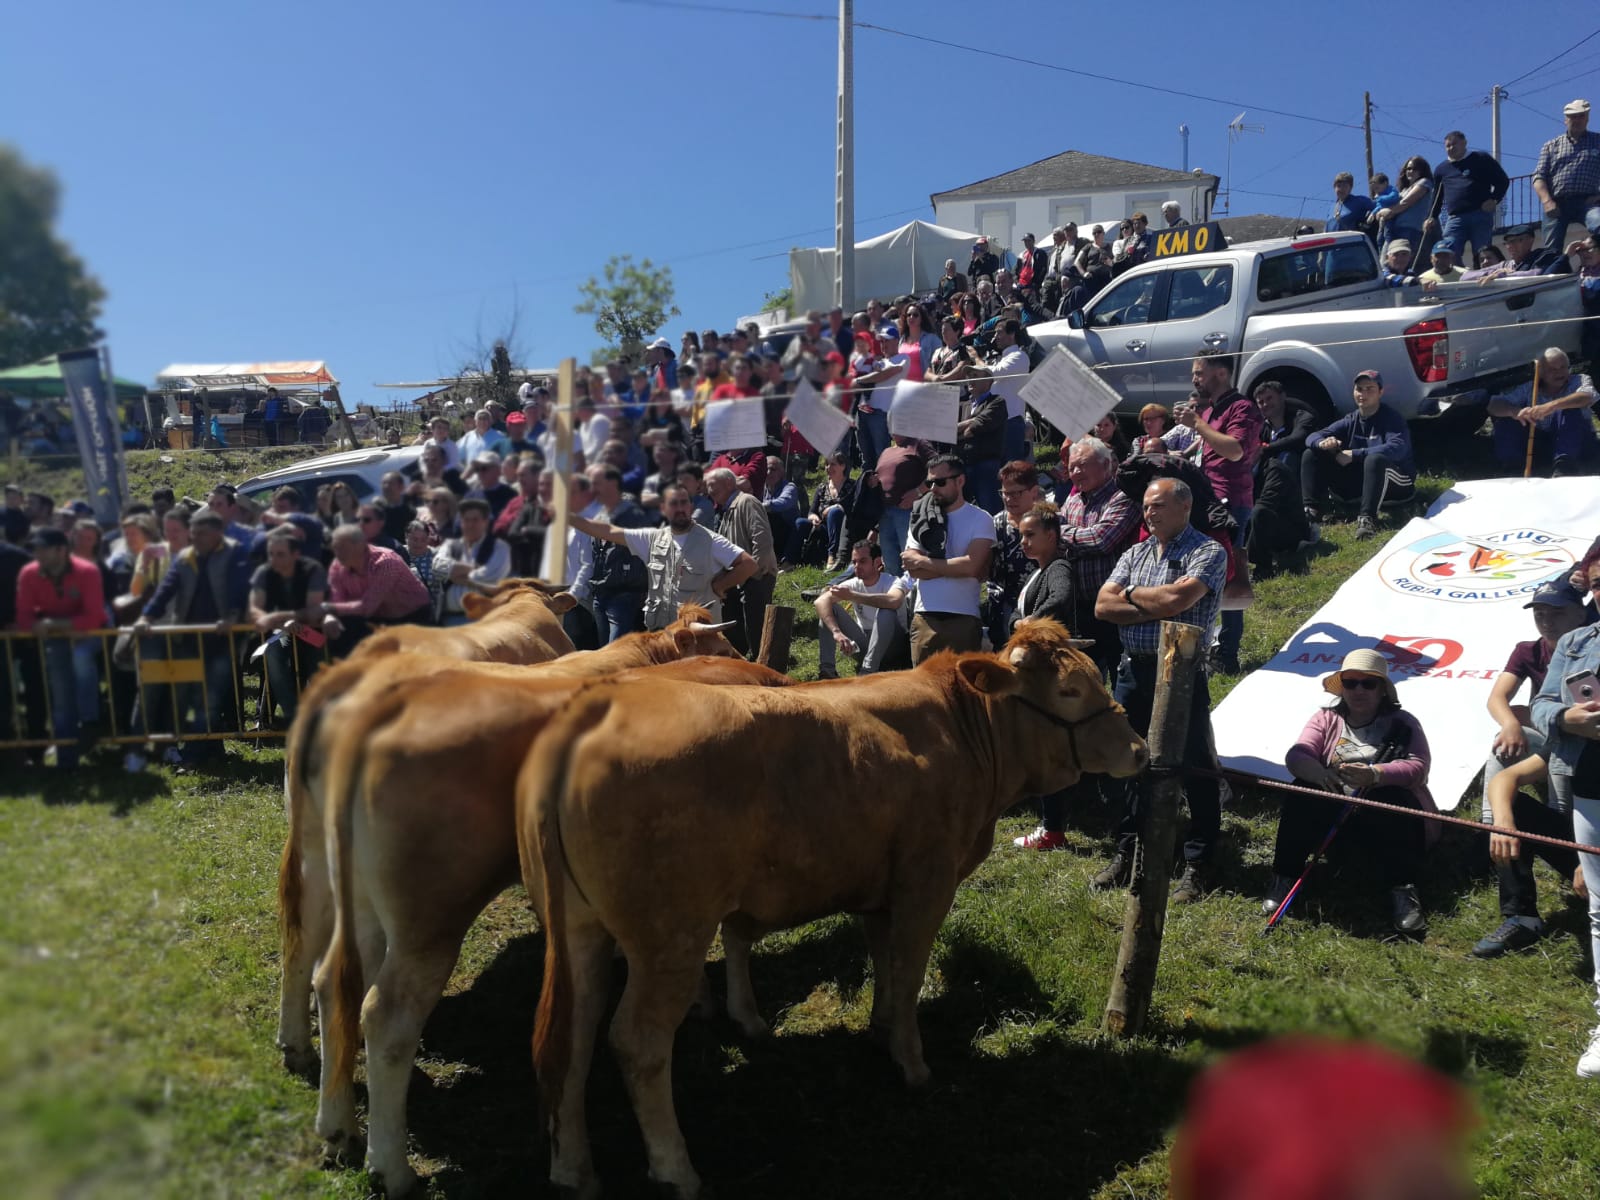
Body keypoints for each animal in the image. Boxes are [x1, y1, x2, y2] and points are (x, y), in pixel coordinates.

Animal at [312, 652, 787, 1196]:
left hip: (362, 905)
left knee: (333, 985)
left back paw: (338, 1128)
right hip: (428, 925)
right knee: (386, 1016)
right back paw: (392, 1168)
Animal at [518, 620, 1145, 1200]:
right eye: (1069, 690)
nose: (1139, 749)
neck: (960, 732)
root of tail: (593, 708)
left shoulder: (879, 886)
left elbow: (883, 961)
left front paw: (880, 1029)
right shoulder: (927, 880)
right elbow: (909, 970)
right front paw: (911, 1065)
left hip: (580, 930)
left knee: (573, 1036)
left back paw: (573, 1171)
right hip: (670, 935)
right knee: (638, 1041)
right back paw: (677, 1170)